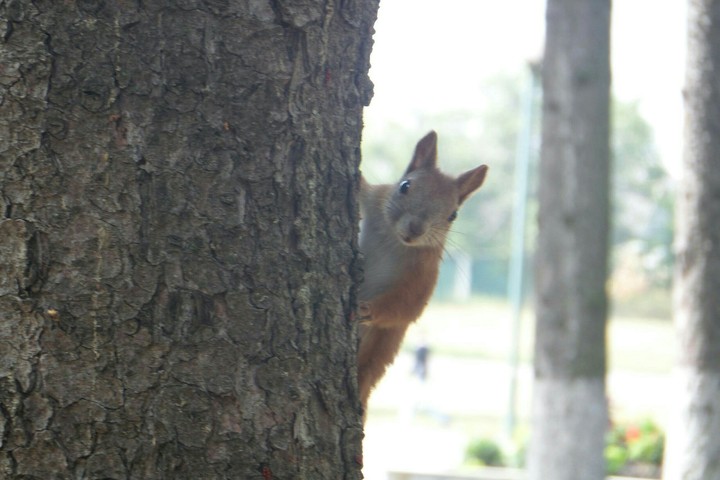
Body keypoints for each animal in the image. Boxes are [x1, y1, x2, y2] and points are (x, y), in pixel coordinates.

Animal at [356, 130, 488, 416]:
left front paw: (368, 309)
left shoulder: (424, 275)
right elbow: (363, 188)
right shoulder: (373, 199)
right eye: (405, 186)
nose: (415, 229)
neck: (393, 240)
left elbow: (407, 306)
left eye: (453, 215)